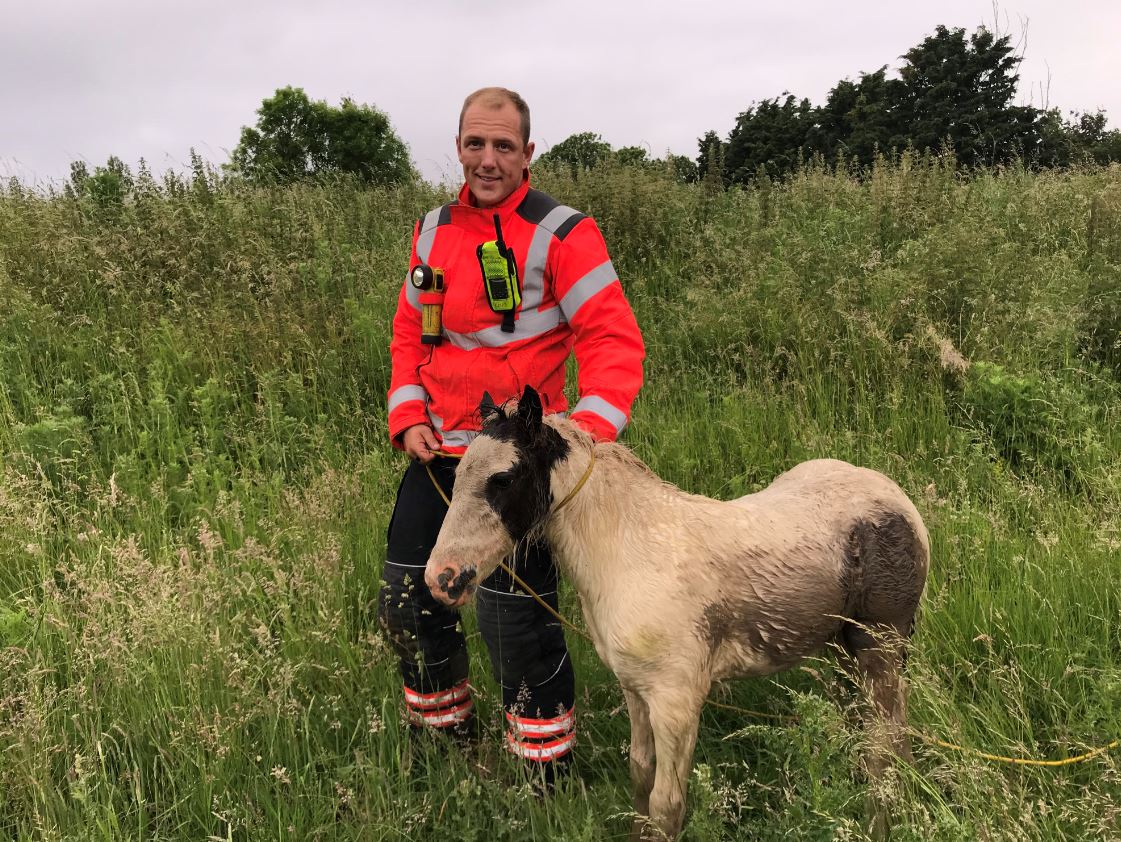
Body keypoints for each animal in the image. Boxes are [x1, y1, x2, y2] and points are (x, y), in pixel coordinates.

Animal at [425, 386, 929, 840]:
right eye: (455, 475)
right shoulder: (635, 688)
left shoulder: (677, 699)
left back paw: (880, 822)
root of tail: (900, 501)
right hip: (842, 646)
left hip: (880, 647)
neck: (628, 549)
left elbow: (667, 804)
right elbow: (640, 773)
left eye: (503, 480)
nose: (442, 578)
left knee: (887, 740)